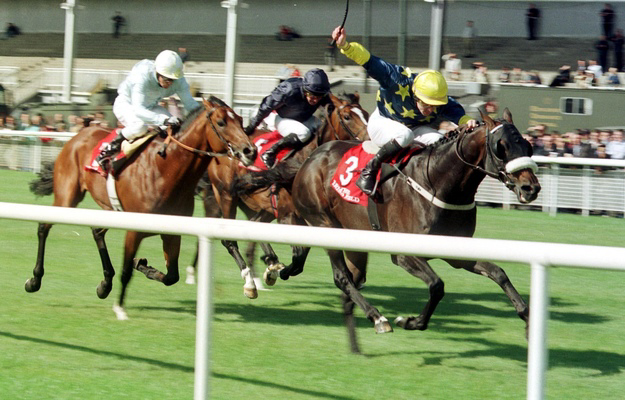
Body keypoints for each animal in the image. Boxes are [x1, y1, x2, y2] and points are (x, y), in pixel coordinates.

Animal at [26, 96, 256, 318]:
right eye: (221, 122)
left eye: (240, 120)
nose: (250, 151)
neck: (167, 170)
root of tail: (79, 134)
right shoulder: (134, 230)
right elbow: (126, 271)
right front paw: (119, 308)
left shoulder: (172, 232)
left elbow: (171, 276)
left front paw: (142, 265)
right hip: (67, 197)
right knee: (43, 227)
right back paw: (34, 280)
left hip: (110, 210)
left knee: (96, 231)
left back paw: (105, 284)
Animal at [205, 94, 370, 298]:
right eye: (347, 117)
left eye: (366, 114)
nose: (369, 139)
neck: (304, 158)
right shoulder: (289, 214)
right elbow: (299, 254)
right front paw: (278, 270)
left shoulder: (306, 217)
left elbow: (302, 254)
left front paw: (275, 269)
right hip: (227, 196)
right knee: (229, 239)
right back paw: (252, 282)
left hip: (264, 206)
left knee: (254, 224)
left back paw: (269, 262)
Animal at [236, 108, 540, 352]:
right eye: (501, 146)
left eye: (526, 144)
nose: (531, 188)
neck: (439, 181)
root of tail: (309, 159)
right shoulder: (404, 254)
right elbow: (437, 286)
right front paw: (410, 321)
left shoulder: (455, 251)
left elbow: (499, 273)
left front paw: (528, 322)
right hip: (324, 222)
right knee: (341, 278)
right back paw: (378, 317)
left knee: (338, 275)